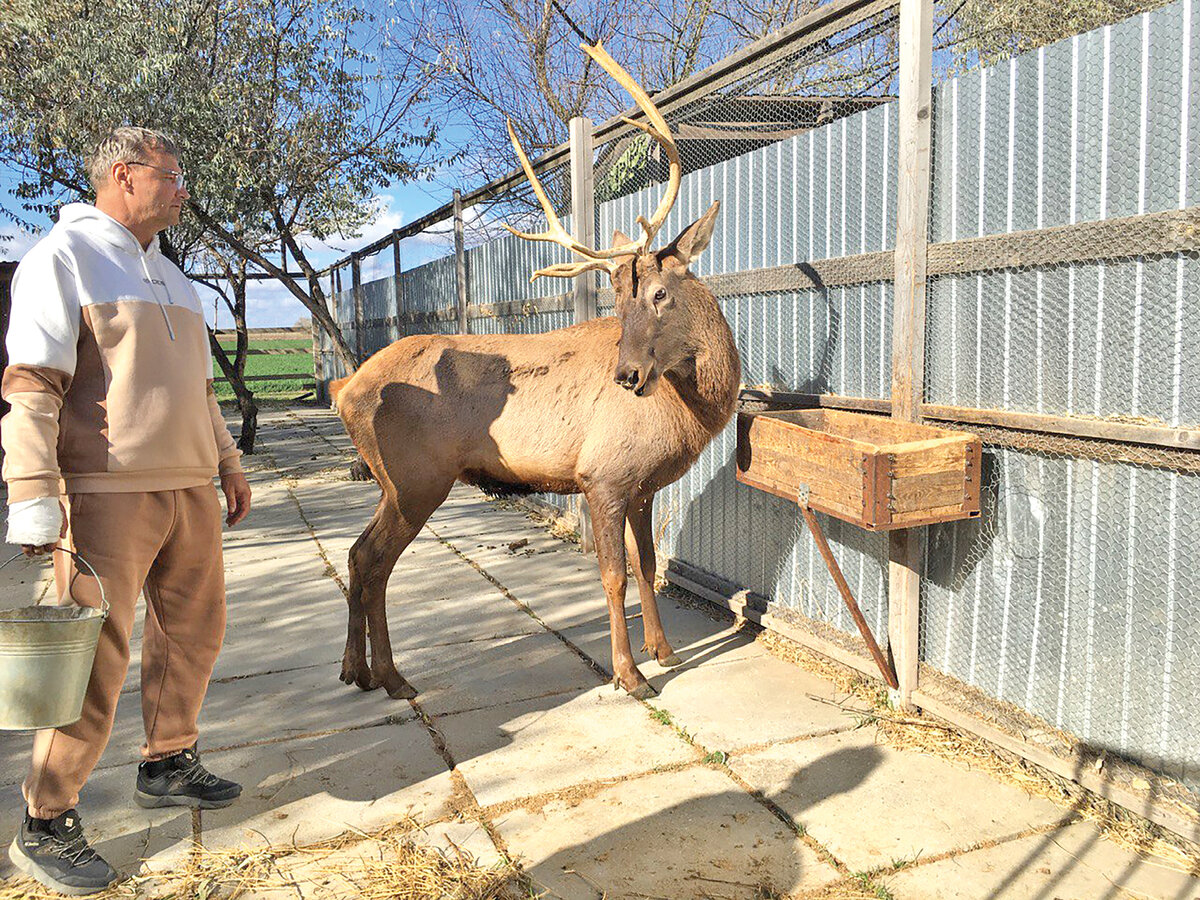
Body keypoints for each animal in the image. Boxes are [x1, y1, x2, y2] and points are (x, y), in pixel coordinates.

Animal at [331, 40, 739, 705]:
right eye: (618, 298)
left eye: (658, 293)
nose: (626, 376)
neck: (689, 415)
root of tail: (345, 389)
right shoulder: (602, 473)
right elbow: (613, 576)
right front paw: (629, 675)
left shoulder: (644, 484)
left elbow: (649, 565)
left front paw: (664, 651)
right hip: (417, 477)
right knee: (374, 561)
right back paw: (391, 676)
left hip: (393, 482)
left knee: (355, 553)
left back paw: (356, 670)